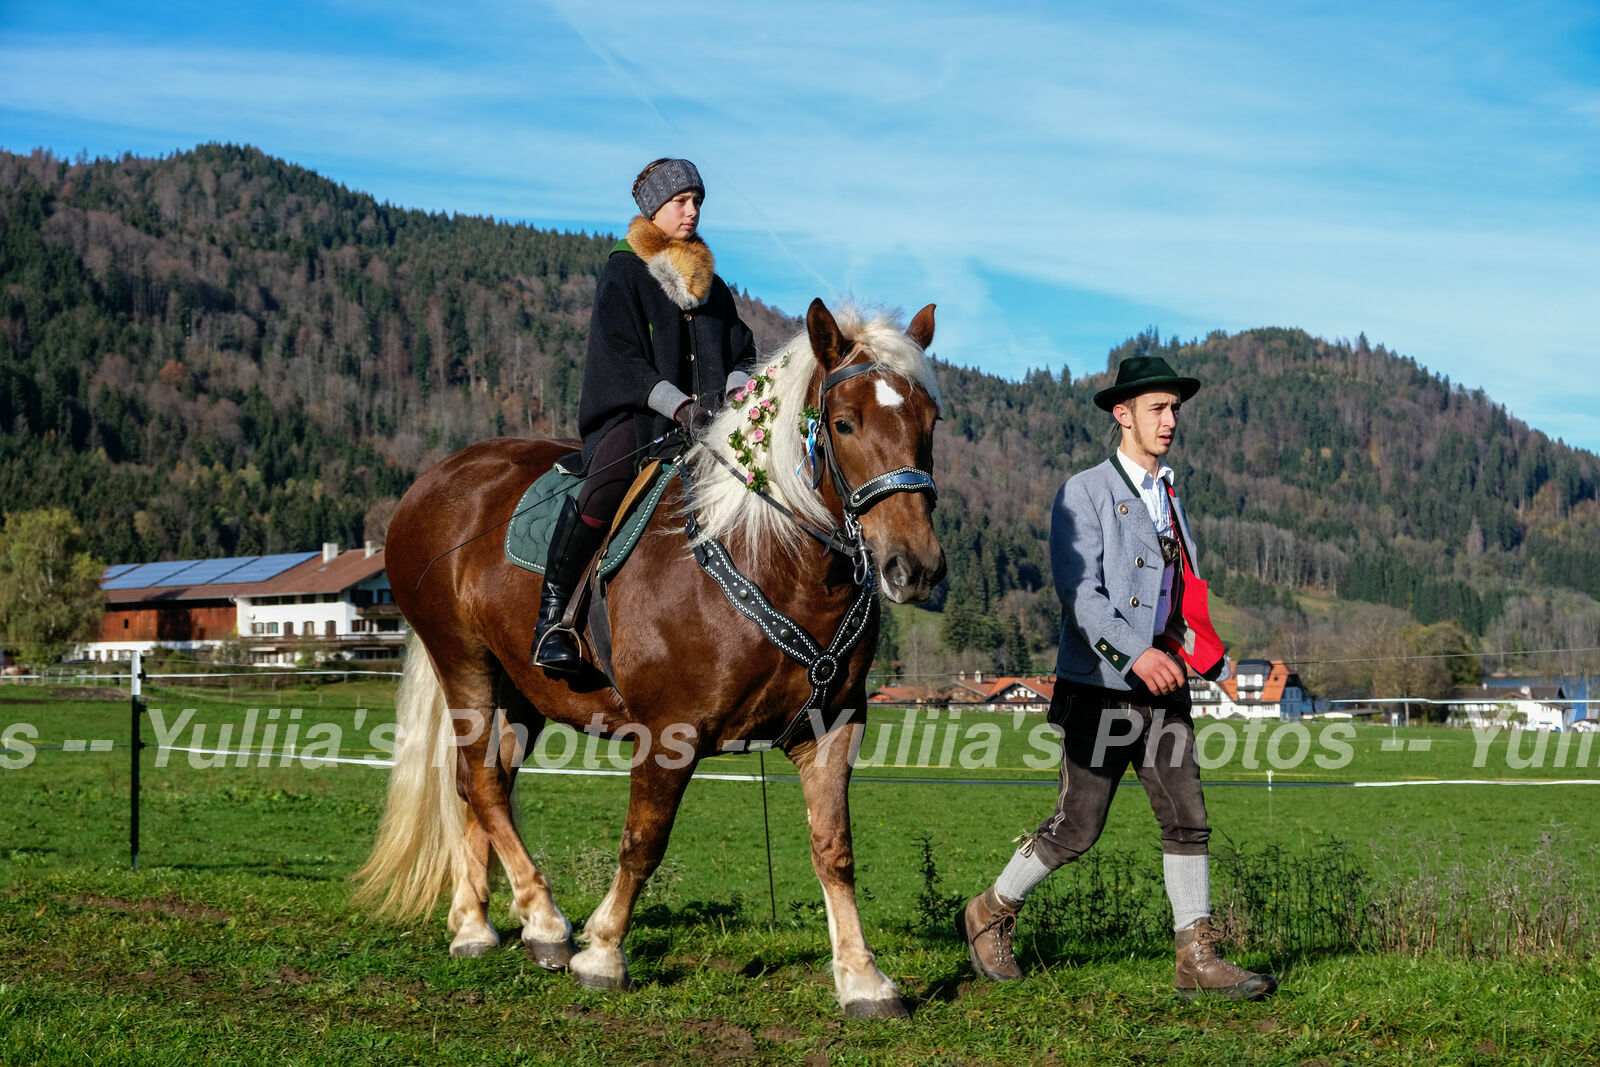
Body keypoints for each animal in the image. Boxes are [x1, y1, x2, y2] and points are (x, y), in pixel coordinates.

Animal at [356, 300, 940, 1017]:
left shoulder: (831, 728)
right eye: (845, 422)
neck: (772, 559)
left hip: (519, 690)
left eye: (929, 422)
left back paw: (476, 925)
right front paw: (603, 951)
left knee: (482, 783)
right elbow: (644, 841)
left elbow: (835, 850)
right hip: (463, 660)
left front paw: (861, 977)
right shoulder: (669, 734)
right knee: (486, 782)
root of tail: (437, 479)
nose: (914, 566)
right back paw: (545, 921)